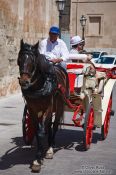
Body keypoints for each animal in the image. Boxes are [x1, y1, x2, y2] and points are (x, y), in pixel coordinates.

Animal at [17, 39, 67, 172]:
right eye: (19, 60)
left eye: (33, 61)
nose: (24, 82)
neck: (39, 86)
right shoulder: (32, 109)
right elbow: (37, 129)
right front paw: (38, 156)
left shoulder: (48, 107)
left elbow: (41, 131)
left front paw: (38, 159)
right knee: (48, 125)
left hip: (59, 106)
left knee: (55, 125)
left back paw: (50, 148)